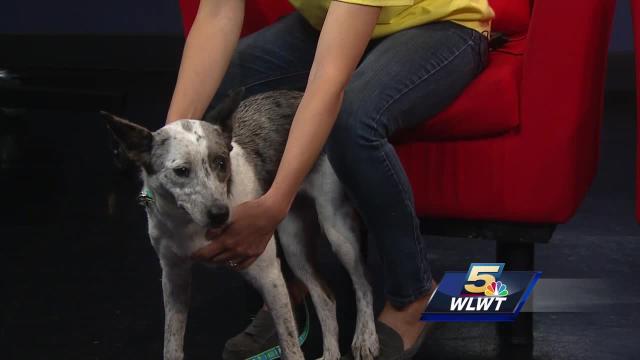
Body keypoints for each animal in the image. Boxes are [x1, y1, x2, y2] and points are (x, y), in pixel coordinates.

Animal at [102, 88, 378, 358]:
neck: (188, 224)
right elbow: (172, 345)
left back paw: (366, 337)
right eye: (181, 171)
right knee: (325, 299)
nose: (220, 214)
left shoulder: (269, 274)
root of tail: (301, 95)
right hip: (293, 244)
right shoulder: (173, 277)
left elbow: (291, 346)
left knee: (363, 280)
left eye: (221, 162)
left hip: (337, 229)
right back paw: (331, 352)